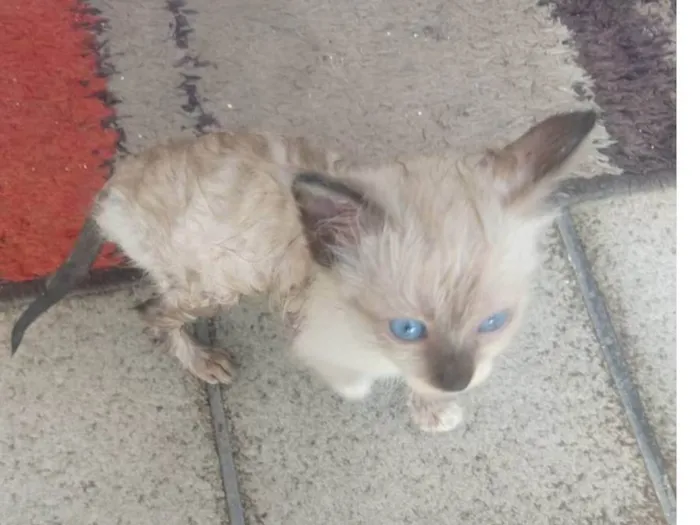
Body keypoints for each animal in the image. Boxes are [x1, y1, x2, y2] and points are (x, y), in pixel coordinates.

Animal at [10, 109, 596, 430]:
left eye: (494, 323)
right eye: (407, 327)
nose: (457, 380)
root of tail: (112, 189)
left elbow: (419, 377)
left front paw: (432, 407)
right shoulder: (323, 332)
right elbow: (360, 375)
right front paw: (390, 392)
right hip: (214, 282)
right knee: (151, 311)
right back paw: (202, 361)